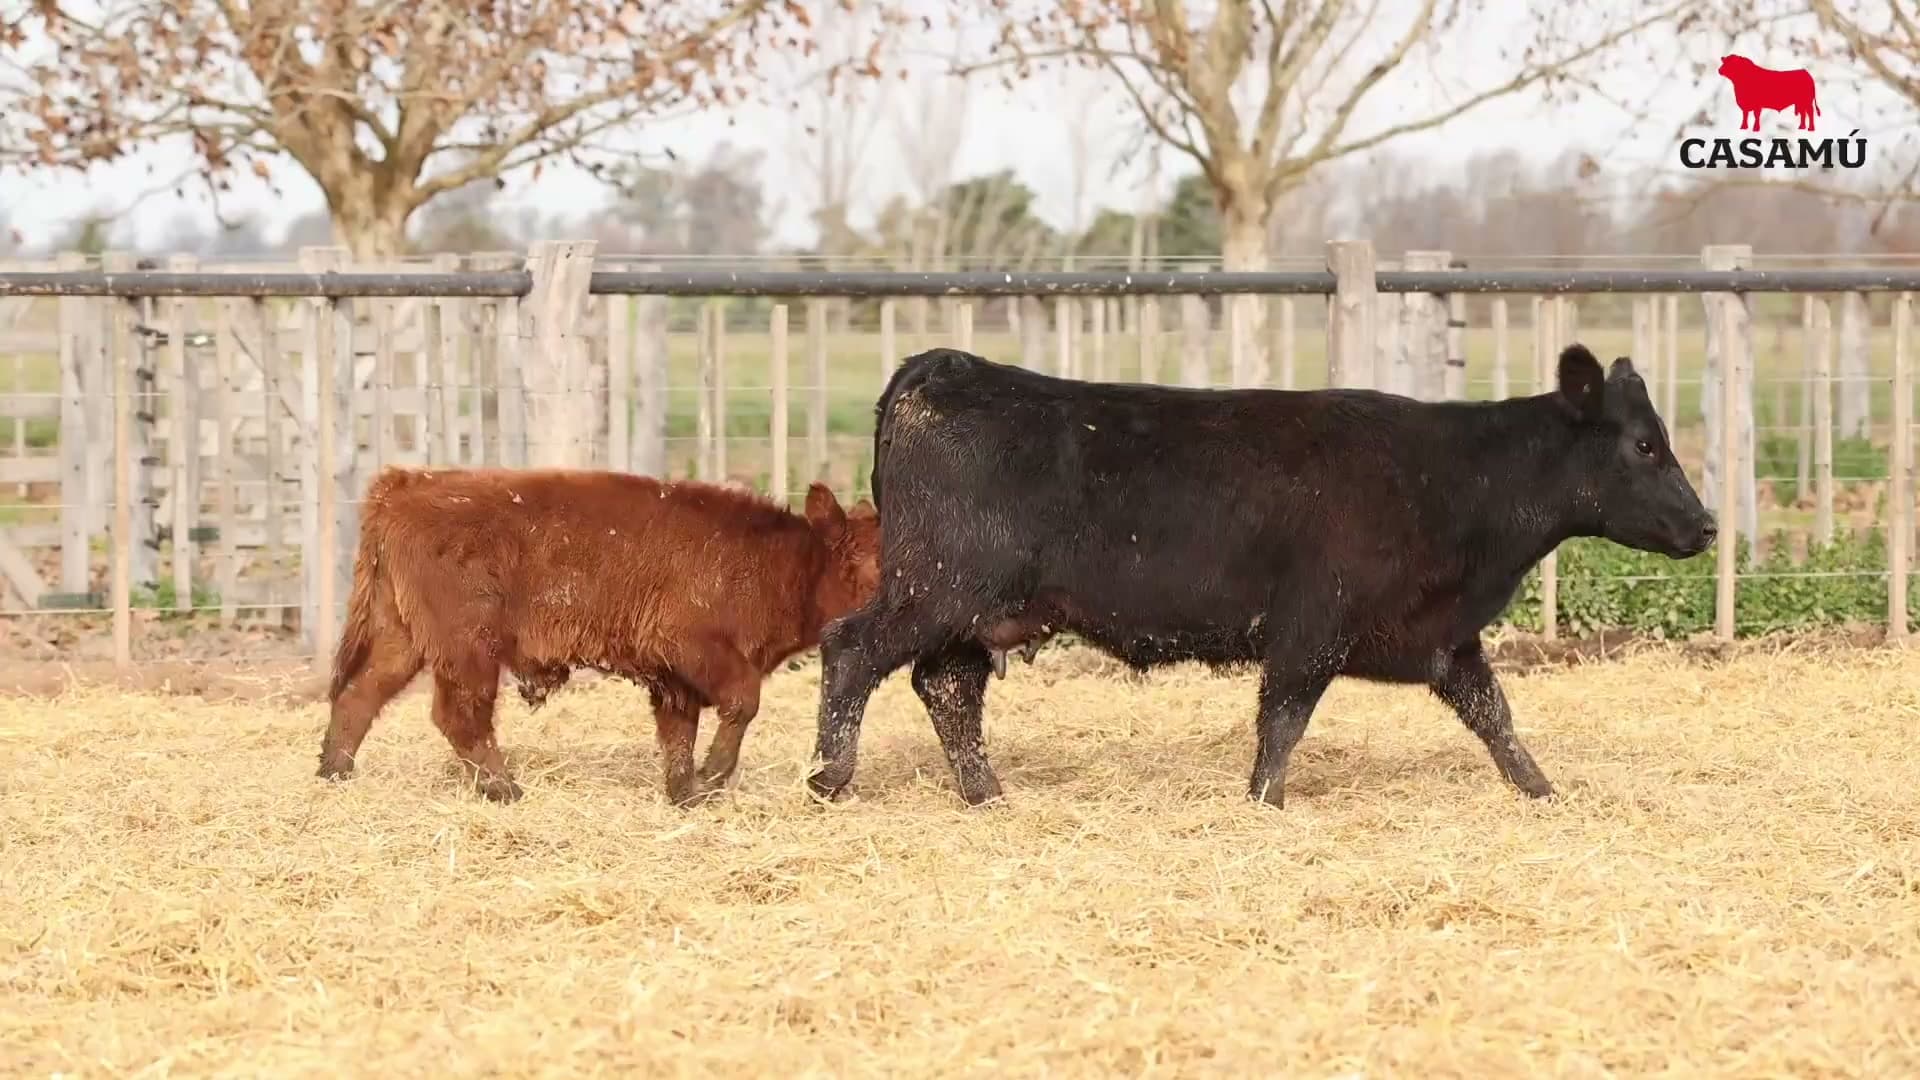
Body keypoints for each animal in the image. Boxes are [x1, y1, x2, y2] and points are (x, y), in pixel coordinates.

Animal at [317, 467, 882, 806]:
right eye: (870, 559)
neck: (781, 562)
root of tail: (409, 484)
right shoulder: (690, 646)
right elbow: (742, 701)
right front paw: (714, 777)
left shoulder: (673, 680)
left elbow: (679, 733)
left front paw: (686, 792)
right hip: (468, 648)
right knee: (458, 715)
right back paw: (506, 789)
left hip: (402, 638)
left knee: (358, 696)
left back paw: (333, 776)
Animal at [807, 343, 1715, 809]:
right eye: (1644, 444)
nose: (1706, 525)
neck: (1455, 478)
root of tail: (944, 366)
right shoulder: (1312, 626)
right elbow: (1283, 722)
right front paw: (1264, 803)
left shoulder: (1444, 638)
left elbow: (1495, 715)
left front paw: (1541, 790)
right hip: (935, 589)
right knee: (851, 649)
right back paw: (830, 777)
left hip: (976, 610)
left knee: (948, 688)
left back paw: (986, 793)